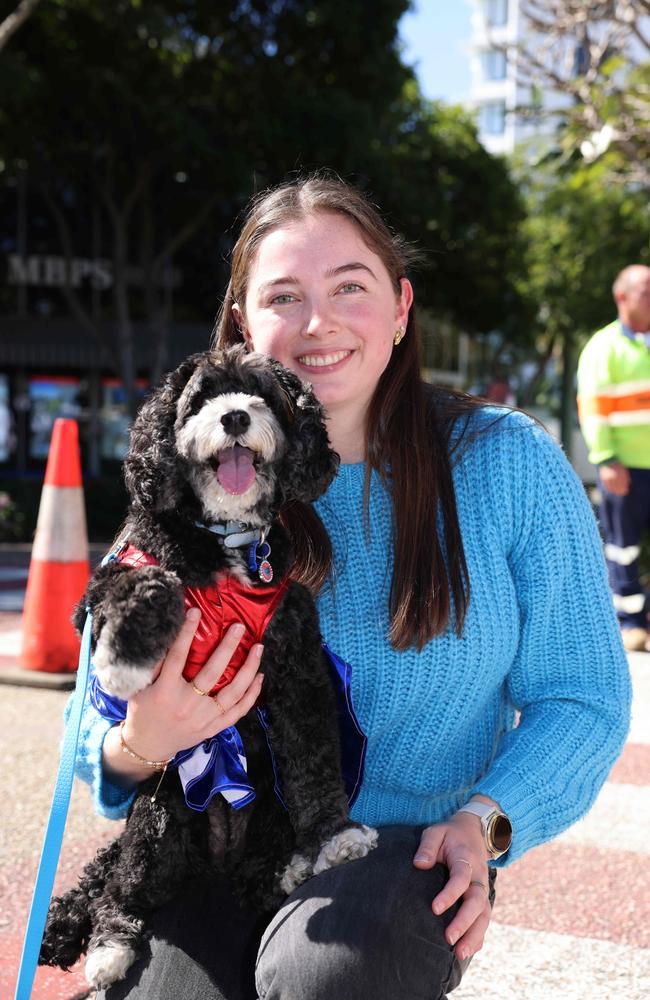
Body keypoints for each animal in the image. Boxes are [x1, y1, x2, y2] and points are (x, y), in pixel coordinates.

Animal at [38, 348, 374, 988]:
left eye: (263, 394)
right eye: (200, 398)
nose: (236, 417)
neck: (227, 541)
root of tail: (217, 862)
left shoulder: (296, 664)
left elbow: (314, 757)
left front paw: (335, 836)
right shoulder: (106, 583)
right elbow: (146, 586)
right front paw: (126, 659)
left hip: (269, 810)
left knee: (257, 881)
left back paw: (291, 870)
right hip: (157, 821)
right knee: (120, 889)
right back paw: (109, 946)